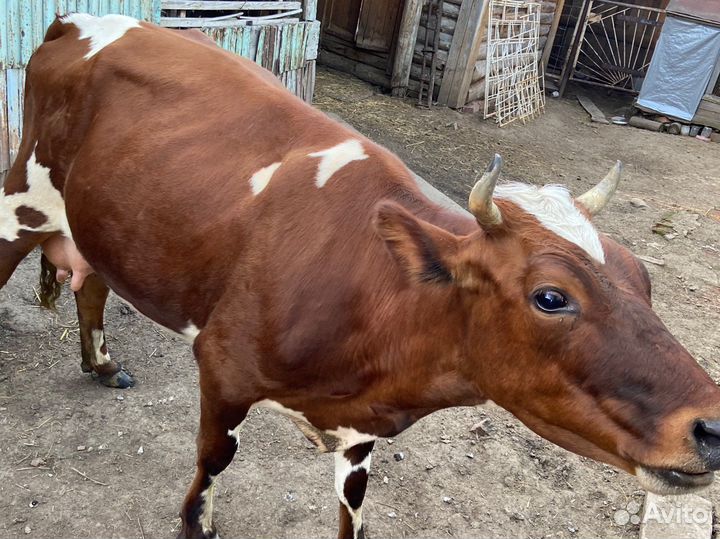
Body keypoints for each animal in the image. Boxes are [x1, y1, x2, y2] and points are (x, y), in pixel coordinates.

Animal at [1, 13, 719, 539]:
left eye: (644, 278)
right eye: (551, 296)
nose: (712, 428)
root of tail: (77, 20)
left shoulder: (365, 427)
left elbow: (354, 505)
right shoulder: (223, 367)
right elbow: (212, 461)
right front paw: (195, 523)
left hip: (101, 220)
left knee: (92, 282)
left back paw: (100, 364)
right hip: (21, 197)